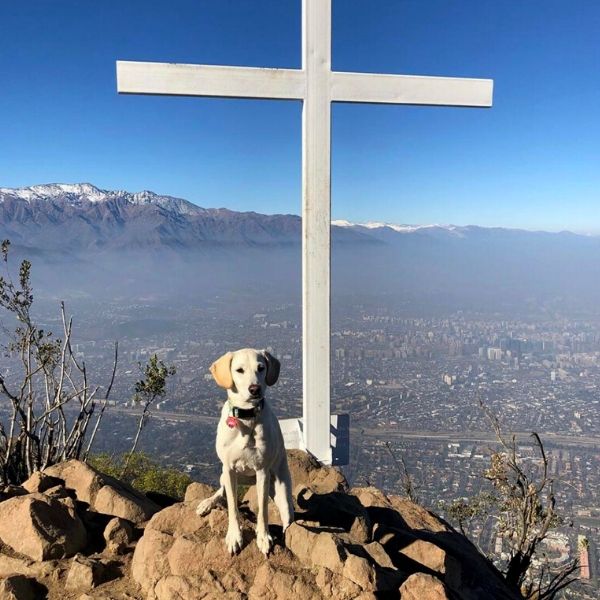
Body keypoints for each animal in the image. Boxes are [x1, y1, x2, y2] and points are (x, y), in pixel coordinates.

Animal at [198, 350, 294, 556]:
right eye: (239, 370)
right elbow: (233, 507)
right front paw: (234, 536)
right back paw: (208, 502)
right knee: (221, 491)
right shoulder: (228, 469)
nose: (254, 389)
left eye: (261, 367)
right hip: (225, 475)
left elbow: (263, 510)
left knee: (287, 520)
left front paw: (263, 537)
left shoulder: (262, 471)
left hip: (282, 492)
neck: (246, 417)